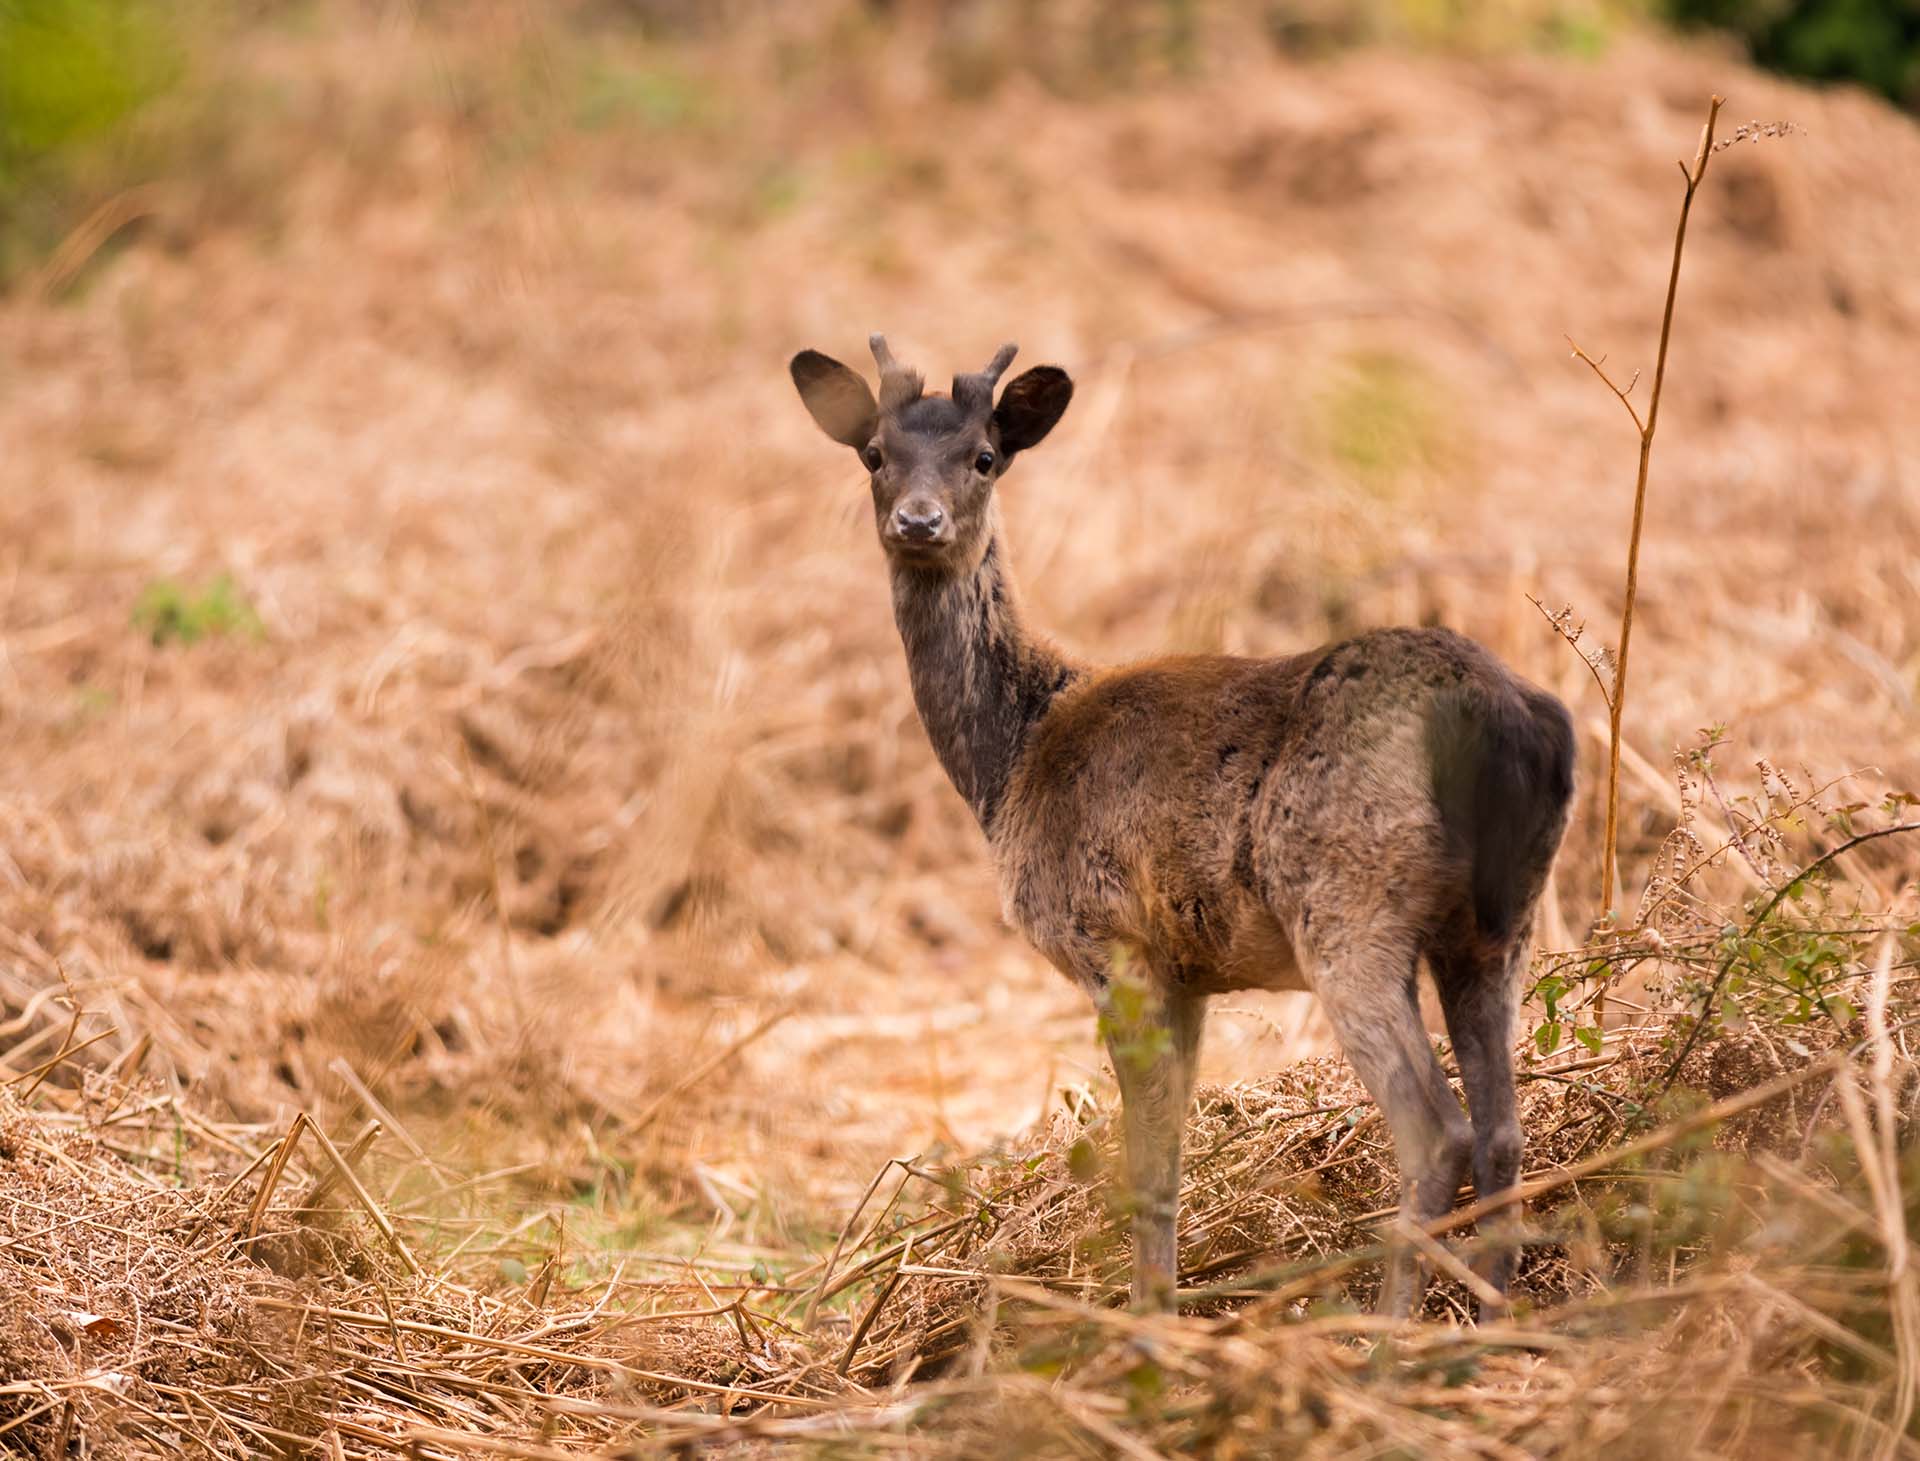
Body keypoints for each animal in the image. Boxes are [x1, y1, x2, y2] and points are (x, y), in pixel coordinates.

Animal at [788, 335, 1576, 1316]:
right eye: (874, 455)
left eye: (984, 456)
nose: (919, 520)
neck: (1011, 760)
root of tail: (1503, 717)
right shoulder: (1188, 968)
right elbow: (1174, 1148)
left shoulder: (1108, 937)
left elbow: (1146, 1162)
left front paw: (1146, 1323)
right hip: (1502, 919)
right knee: (1504, 1129)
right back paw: (1486, 1323)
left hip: (1350, 902)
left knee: (1439, 1131)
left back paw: (1390, 1330)